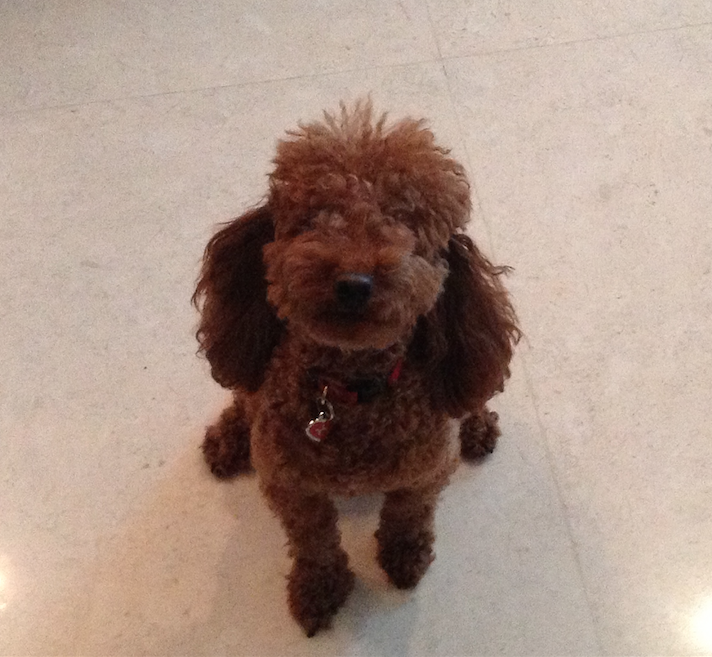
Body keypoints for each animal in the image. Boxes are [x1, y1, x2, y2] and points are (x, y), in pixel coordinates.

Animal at [193, 101, 519, 636]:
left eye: (404, 222)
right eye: (314, 217)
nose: (353, 283)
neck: (349, 391)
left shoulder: (425, 473)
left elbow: (409, 516)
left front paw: (404, 558)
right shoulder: (291, 486)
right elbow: (315, 542)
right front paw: (318, 590)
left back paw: (476, 427)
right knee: (242, 396)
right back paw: (228, 441)